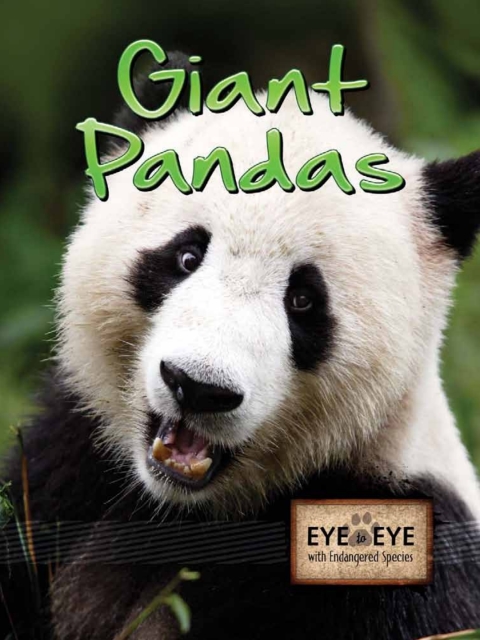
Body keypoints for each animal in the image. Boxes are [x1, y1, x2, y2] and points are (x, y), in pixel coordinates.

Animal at [2, 51, 480, 640]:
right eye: (186, 256)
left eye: (303, 300)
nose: (198, 387)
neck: (181, 509)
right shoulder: (67, 463)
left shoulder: (395, 566)